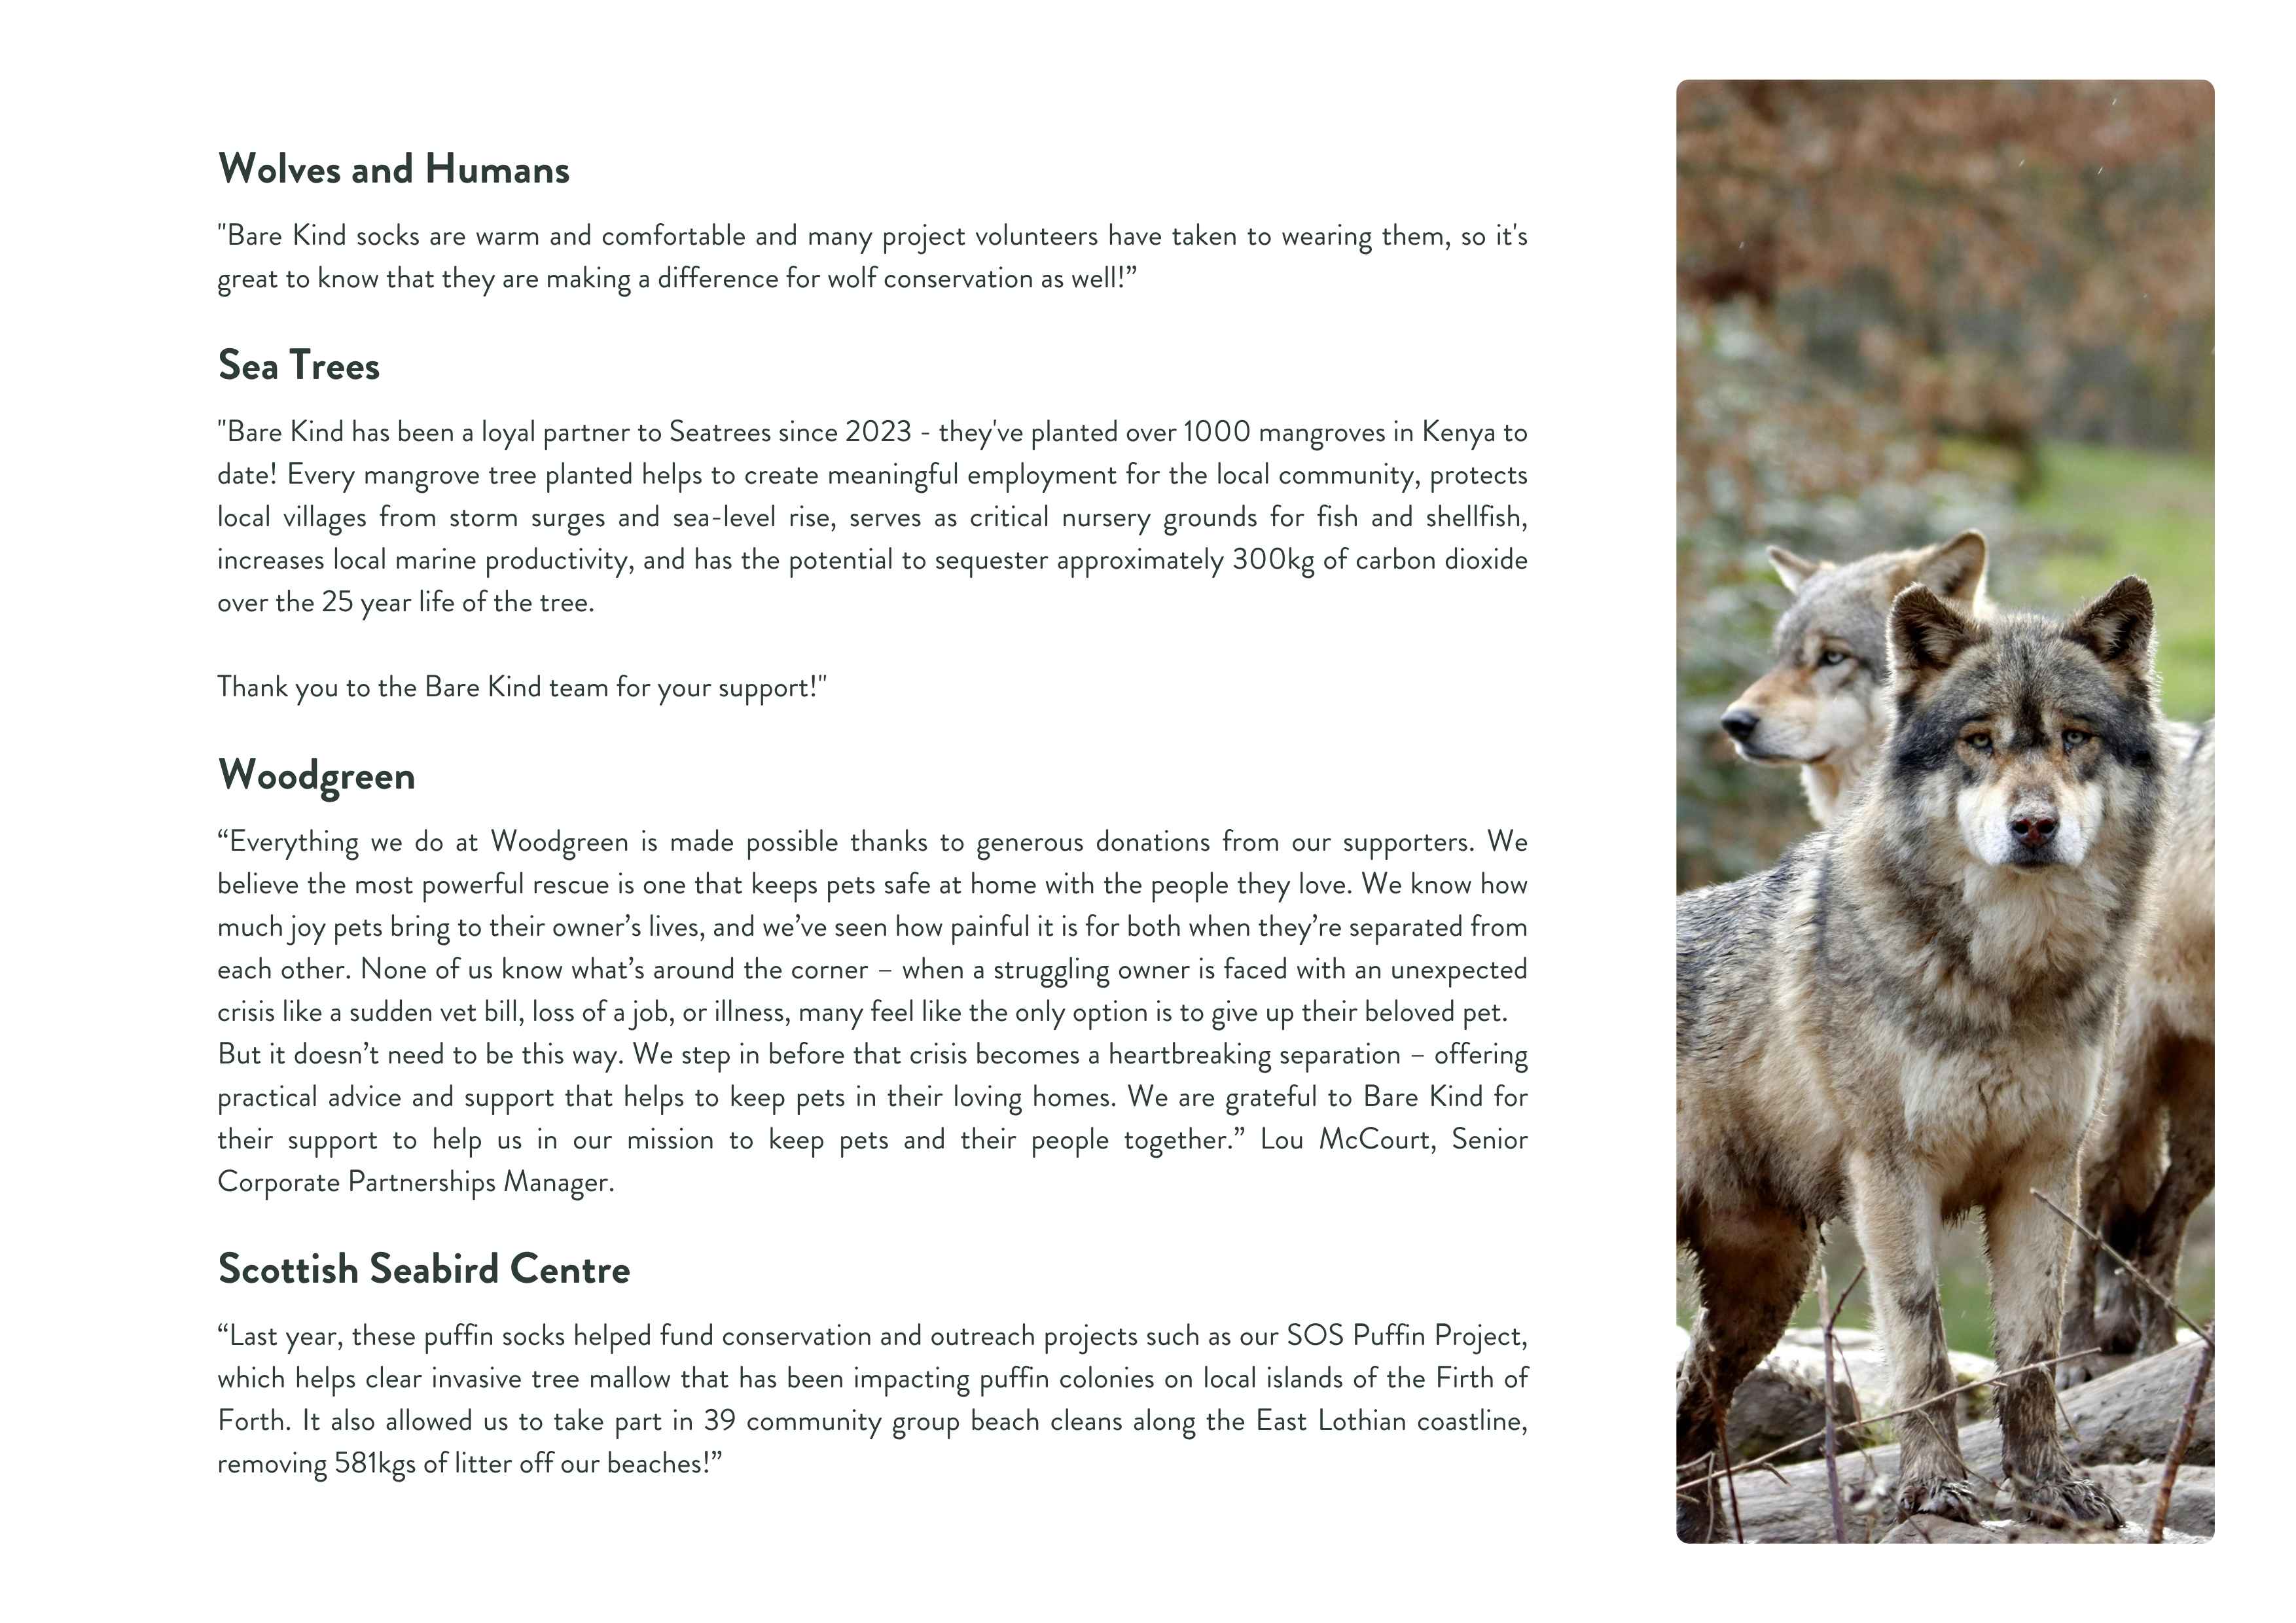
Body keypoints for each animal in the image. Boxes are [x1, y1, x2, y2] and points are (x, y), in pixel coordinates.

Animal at [1677, 577, 2164, 1540]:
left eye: (2074, 737)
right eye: (1978, 740)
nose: (2034, 826)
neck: (2008, 977)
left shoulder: (2043, 1175)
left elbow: (2032, 1357)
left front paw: (2048, 1488)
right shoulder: (1893, 1177)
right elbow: (1926, 1348)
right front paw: (1935, 1488)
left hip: (1764, 1285)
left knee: (1692, 1398)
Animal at [1720, 533, 2215, 1386]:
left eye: (1831, 657)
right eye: (1784, 653)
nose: (1735, 721)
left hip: (2122, 1097)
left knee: (2122, 1220)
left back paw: (2103, 1352)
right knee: (2157, 1217)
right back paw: (2147, 1345)